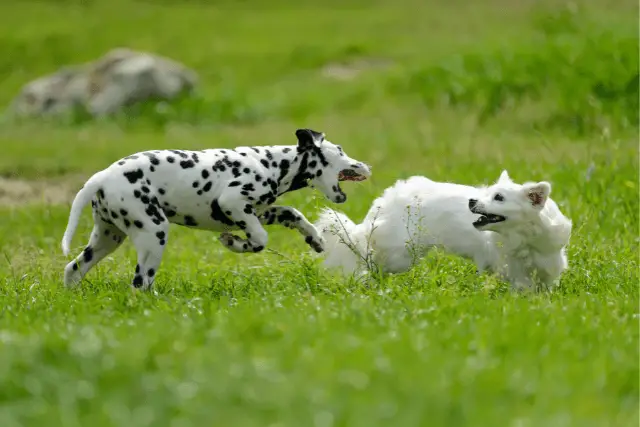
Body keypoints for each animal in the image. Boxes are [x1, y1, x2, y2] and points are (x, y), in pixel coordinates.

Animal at [61, 129, 370, 290]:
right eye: (340, 150)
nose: (366, 166)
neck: (271, 163)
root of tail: (102, 176)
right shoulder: (233, 203)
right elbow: (260, 240)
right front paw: (234, 243)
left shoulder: (256, 212)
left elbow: (292, 213)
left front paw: (314, 238)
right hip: (153, 233)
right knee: (140, 282)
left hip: (107, 239)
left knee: (72, 269)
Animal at [318, 171, 572, 290]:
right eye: (485, 194)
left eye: (499, 197)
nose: (472, 201)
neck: (525, 239)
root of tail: (385, 200)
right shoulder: (513, 269)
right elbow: (523, 287)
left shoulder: (549, 266)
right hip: (400, 256)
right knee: (369, 260)